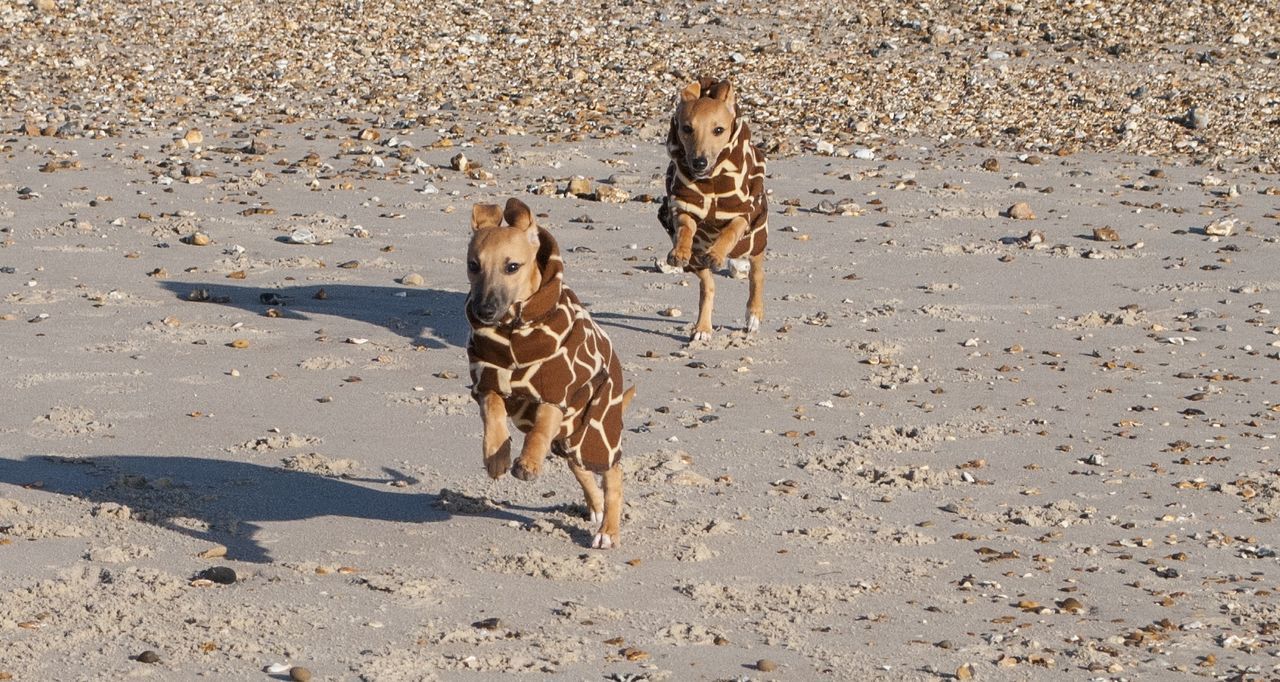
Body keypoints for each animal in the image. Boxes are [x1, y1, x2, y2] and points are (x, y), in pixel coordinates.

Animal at [465, 197, 634, 547]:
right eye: (473, 265)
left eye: (512, 267)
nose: (484, 311)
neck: (513, 334)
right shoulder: (487, 380)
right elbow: (493, 413)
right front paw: (496, 456)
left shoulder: (556, 391)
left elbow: (540, 428)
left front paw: (528, 462)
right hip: (569, 443)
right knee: (583, 473)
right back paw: (595, 507)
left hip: (595, 431)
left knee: (613, 476)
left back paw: (608, 530)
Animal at [660, 78, 768, 340]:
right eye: (687, 128)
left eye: (718, 130)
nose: (699, 162)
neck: (711, 183)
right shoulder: (683, 205)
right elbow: (685, 228)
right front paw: (679, 251)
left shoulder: (742, 213)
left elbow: (729, 232)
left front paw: (717, 254)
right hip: (698, 259)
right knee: (708, 286)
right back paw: (702, 328)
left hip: (756, 236)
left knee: (756, 275)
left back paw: (753, 315)